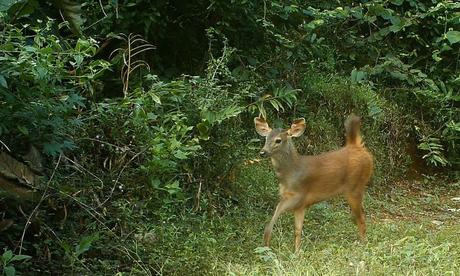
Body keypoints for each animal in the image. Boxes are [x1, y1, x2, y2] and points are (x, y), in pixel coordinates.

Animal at [255, 113, 374, 251]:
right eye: (265, 138)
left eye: (278, 140)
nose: (262, 152)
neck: (290, 173)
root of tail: (356, 146)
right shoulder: (300, 205)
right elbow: (297, 230)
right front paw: (296, 251)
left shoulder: (298, 196)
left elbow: (276, 213)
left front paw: (266, 244)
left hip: (355, 186)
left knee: (361, 216)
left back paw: (363, 243)